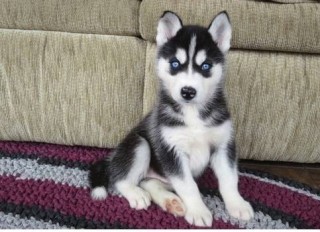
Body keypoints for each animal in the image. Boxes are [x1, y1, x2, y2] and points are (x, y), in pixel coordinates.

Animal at [89, 10, 254, 227]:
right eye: (175, 64)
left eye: (206, 66)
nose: (188, 92)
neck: (192, 113)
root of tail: (112, 158)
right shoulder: (171, 149)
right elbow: (189, 186)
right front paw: (199, 211)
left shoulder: (223, 145)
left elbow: (229, 179)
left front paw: (237, 204)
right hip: (139, 144)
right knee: (121, 179)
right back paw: (137, 195)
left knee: (149, 182)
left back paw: (171, 201)